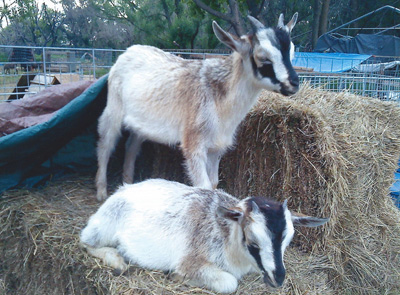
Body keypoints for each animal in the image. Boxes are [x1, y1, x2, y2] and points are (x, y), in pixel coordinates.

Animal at [80, 179, 328, 294]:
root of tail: (124, 188)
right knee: (85, 242)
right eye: (252, 241)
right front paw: (176, 276)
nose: (278, 278)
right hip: (105, 223)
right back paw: (118, 260)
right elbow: (229, 283)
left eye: (288, 241)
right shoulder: (191, 260)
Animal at [95, 13, 298, 201]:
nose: (294, 83)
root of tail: (128, 51)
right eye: (263, 58)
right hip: (113, 106)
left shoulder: (217, 146)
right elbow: (204, 185)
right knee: (105, 143)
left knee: (131, 146)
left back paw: (128, 184)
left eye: (292, 54)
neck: (221, 98)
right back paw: (101, 191)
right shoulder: (194, 142)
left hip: (141, 123)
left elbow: (214, 182)